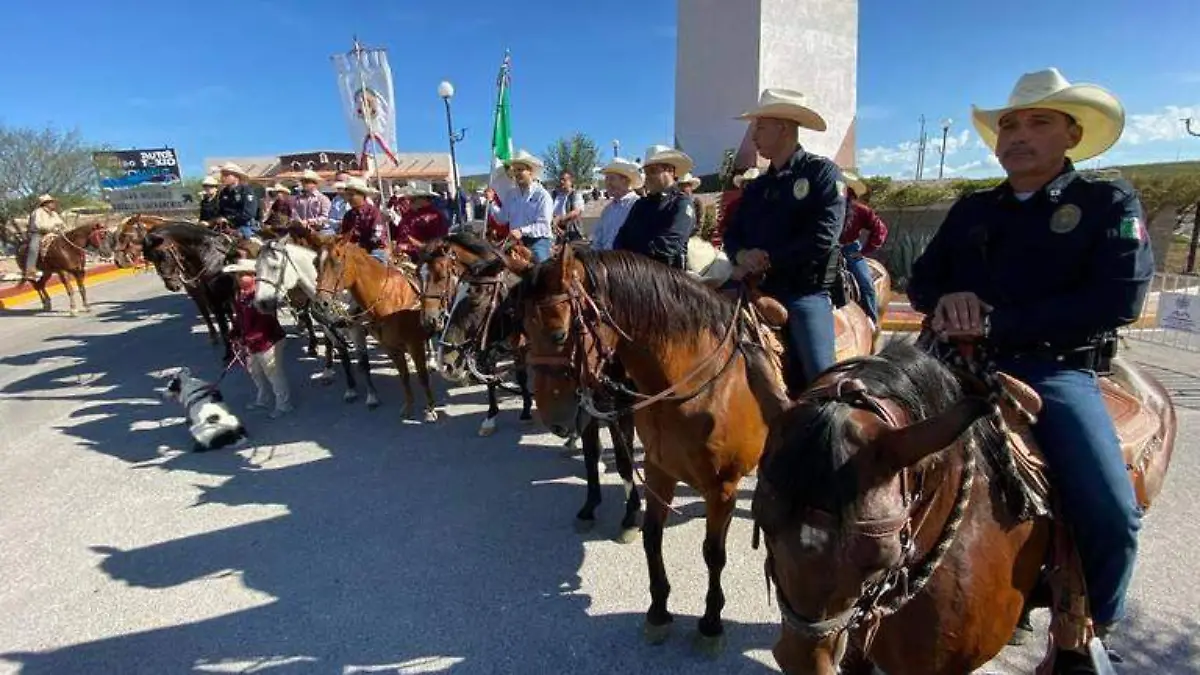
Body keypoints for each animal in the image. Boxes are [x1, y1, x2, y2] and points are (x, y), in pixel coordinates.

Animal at [253, 237, 379, 403]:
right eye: (256, 267)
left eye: (275, 267)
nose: (261, 303)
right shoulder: (330, 328)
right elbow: (344, 359)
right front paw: (351, 389)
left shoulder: (356, 329)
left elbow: (364, 361)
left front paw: (372, 395)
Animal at [314, 237, 441, 420]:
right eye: (315, 263)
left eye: (337, 263)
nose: (320, 303)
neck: (387, 297)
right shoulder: (390, 347)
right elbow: (404, 376)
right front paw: (408, 407)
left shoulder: (414, 343)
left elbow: (422, 376)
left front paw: (430, 409)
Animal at [516, 246, 787, 653]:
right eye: (523, 329)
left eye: (559, 332)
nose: (554, 419)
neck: (698, 386)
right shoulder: (661, 472)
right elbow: (651, 536)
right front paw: (658, 611)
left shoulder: (721, 488)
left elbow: (713, 553)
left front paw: (710, 623)